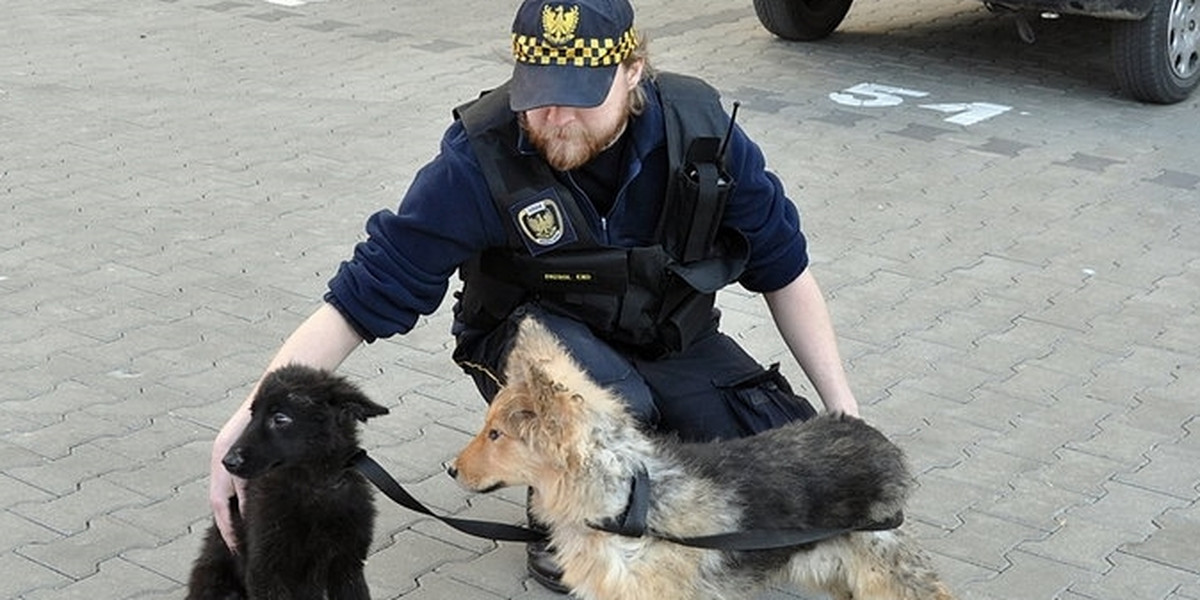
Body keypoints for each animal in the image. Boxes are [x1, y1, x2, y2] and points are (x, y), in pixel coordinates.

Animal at [186, 364, 388, 600]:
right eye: (252, 415)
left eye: (280, 419)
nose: (228, 461)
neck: (312, 485)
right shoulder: (266, 569)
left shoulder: (348, 564)